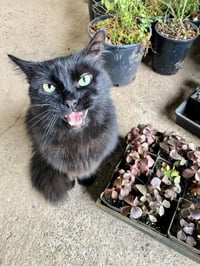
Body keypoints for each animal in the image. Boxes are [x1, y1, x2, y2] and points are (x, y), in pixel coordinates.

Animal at [8, 30, 119, 202]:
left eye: (84, 79)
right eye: (49, 87)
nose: (70, 101)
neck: (78, 143)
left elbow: (92, 168)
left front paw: (86, 179)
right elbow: (67, 172)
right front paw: (71, 182)